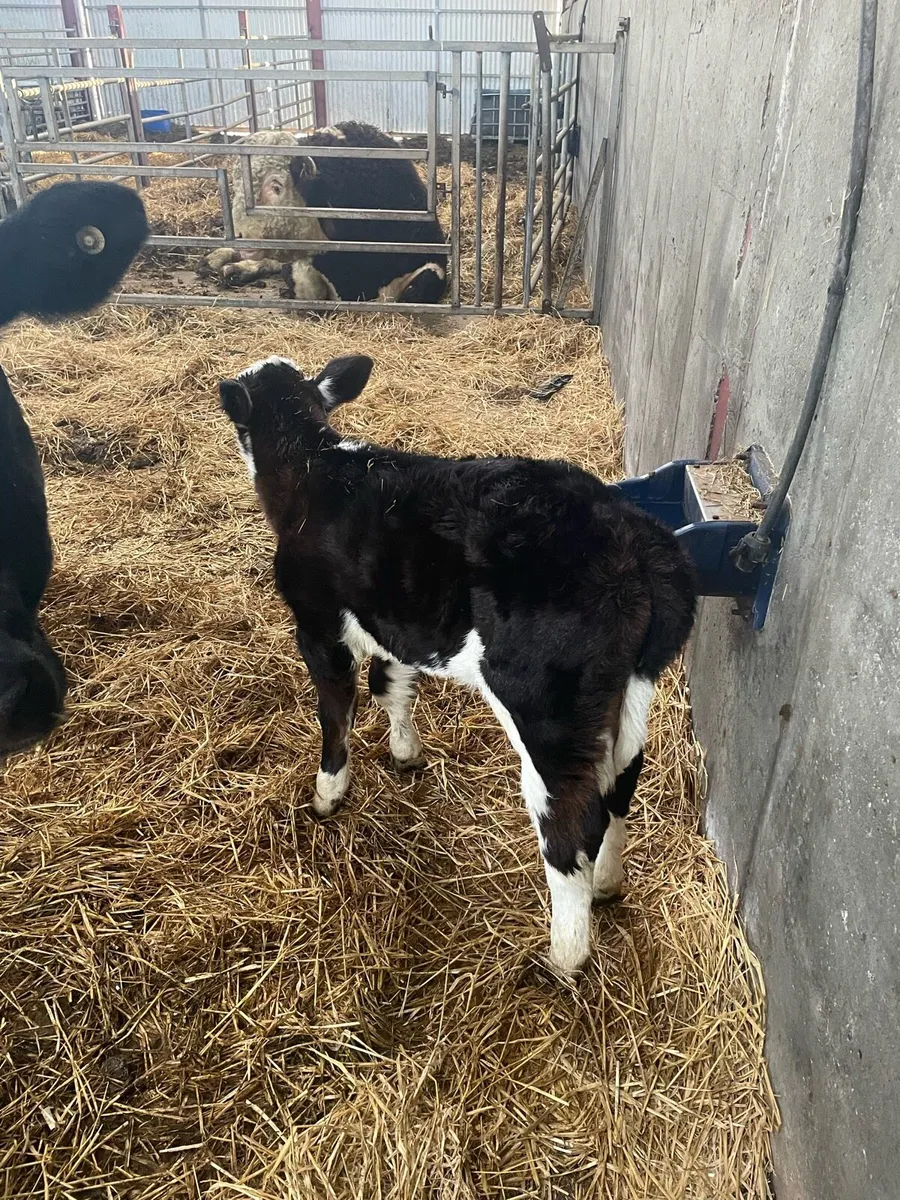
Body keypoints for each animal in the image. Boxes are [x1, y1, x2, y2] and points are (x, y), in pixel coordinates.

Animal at [218, 354, 696, 974]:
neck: (313, 469)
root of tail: (637, 538)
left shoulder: (318, 625)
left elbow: (336, 714)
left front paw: (328, 794)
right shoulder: (393, 622)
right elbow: (391, 686)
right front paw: (405, 752)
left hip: (546, 709)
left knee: (570, 824)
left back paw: (562, 957)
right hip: (629, 691)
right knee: (620, 785)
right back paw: (608, 885)